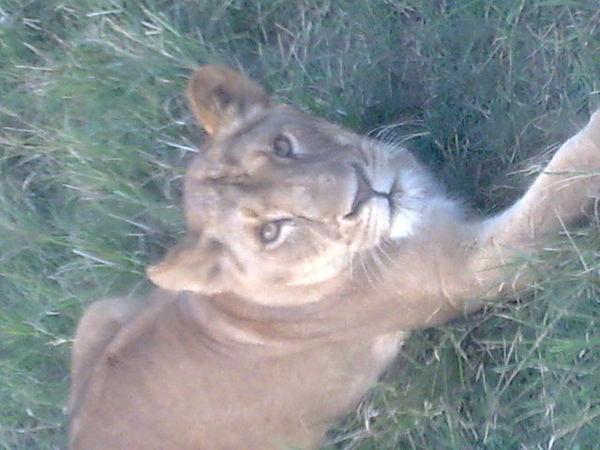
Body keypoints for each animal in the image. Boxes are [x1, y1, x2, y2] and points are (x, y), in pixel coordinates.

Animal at [67, 66, 600, 450]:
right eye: (270, 231)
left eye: (283, 146)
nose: (359, 192)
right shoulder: (471, 271)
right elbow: (561, 179)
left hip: (99, 313)